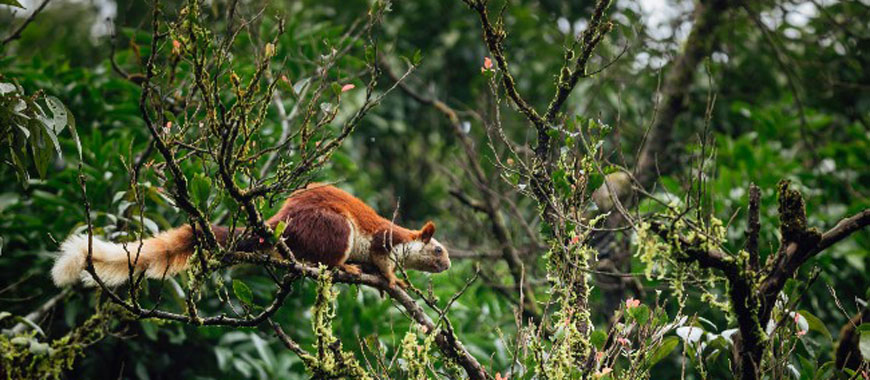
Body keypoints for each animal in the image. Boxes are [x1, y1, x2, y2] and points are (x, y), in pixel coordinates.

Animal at [52, 183, 454, 288]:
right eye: (438, 250)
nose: (448, 265)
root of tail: (280, 222)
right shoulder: (385, 239)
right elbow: (383, 261)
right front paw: (393, 281)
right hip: (334, 228)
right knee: (326, 256)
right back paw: (342, 267)